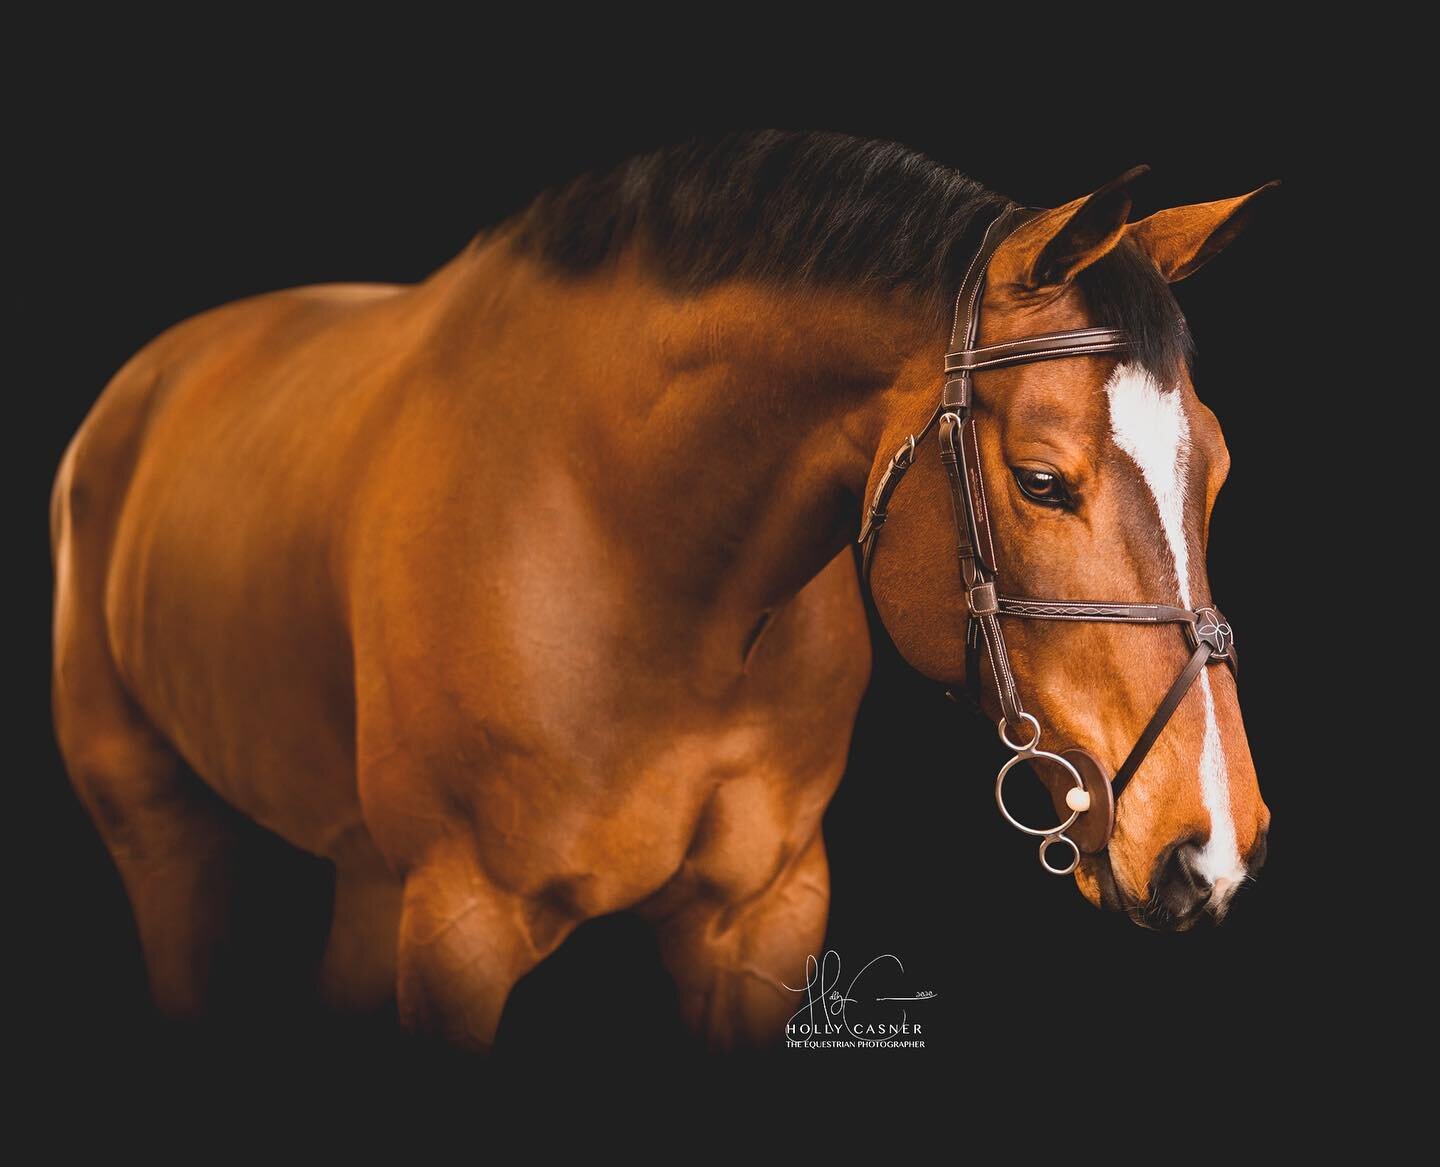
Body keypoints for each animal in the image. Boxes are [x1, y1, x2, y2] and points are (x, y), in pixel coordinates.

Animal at [50, 131, 1278, 1048]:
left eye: (1218, 470)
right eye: (1040, 481)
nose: (1211, 846)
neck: (639, 561)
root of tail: (148, 378)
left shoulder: (761, 916)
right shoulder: (458, 924)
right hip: (161, 829)